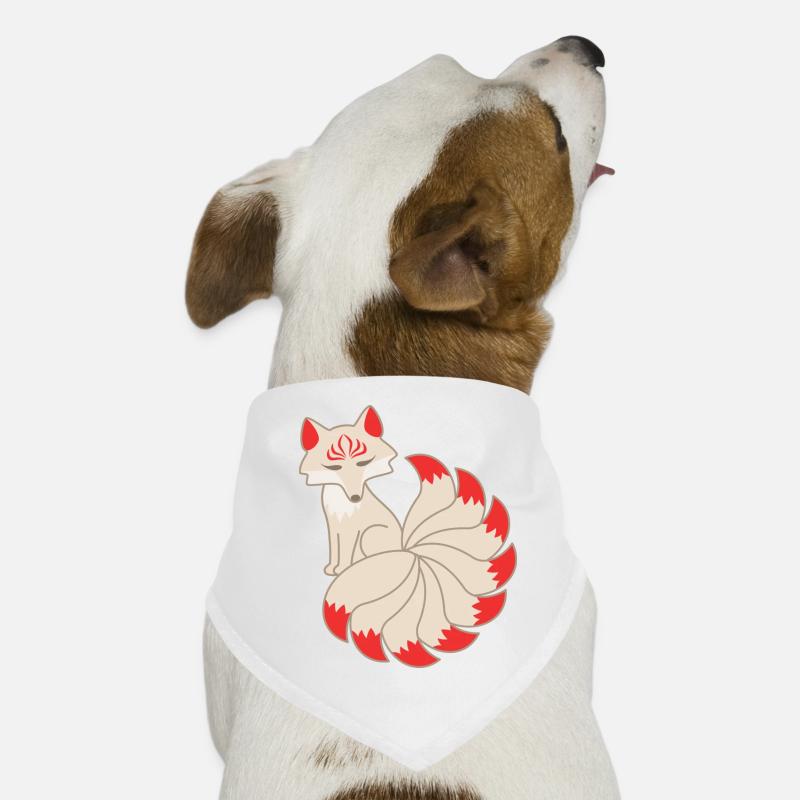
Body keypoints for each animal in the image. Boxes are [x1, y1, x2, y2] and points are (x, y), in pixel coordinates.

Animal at [299, 406, 516, 667]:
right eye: (334, 468)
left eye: (364, 462)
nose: (355, 498)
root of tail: (409, 552)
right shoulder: (334, 525)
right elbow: (334, 548)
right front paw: (332, 568)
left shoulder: (353, 529)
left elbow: (346, 552)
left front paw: (342, 569)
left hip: (371, 535)